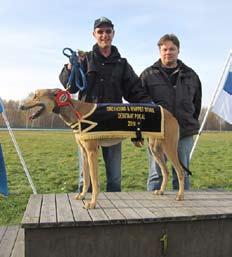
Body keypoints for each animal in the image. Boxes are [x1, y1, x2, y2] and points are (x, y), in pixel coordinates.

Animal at [20, 88, 187, 208]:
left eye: (36, 96)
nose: (21, 106)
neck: (76, 110)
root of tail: (170, 113)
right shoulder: (84, 153)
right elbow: (86, 179)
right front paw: (82, 196)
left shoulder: (92, 152)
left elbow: (94, 181)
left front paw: (92, 203)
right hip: (155, 149)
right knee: (166, 171)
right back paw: (162, 190)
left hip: (170, 148)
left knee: (180, 171)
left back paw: (180, 195)